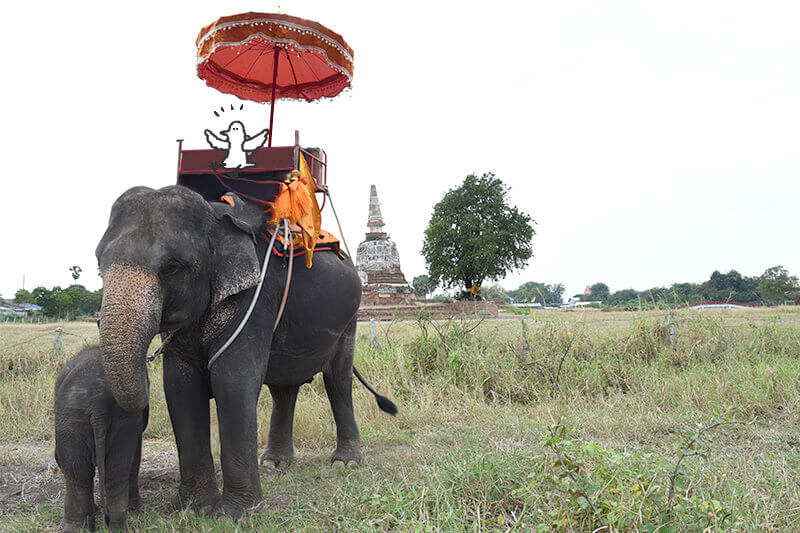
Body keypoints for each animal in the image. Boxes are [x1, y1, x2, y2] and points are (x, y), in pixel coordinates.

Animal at [95, 185, 396, 516]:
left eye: (171, 267)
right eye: (98, 266)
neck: (214, 216)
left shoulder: (256, 298)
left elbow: (232, 382)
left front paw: (234, 515)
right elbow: (180, 389)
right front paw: (193, 509)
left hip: (350, 319)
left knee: (338, 380)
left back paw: (345, 463)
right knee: (284, 390)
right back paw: (274, 464)